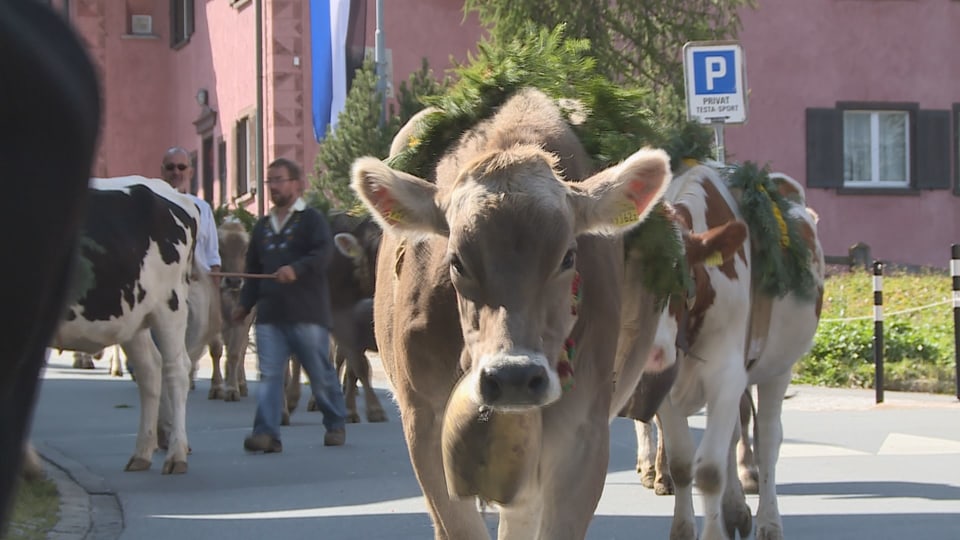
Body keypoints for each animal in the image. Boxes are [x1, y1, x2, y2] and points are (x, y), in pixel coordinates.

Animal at [52, 176, 199, 472]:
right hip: (133, 317)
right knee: (149, 370)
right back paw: (142, 453)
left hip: (170, 305)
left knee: (177, 370)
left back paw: (176, 454)